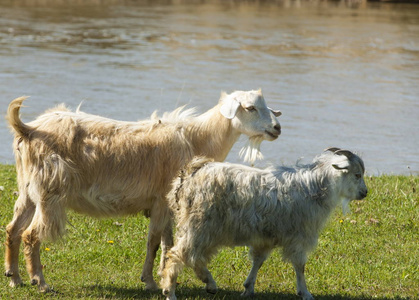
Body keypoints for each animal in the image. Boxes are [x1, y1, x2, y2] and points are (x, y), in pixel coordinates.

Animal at [3, 89, 282, 292]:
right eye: (250, 107)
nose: (277, 128)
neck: (197, 139)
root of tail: (28, 129)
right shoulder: (160, 200)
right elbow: (154, 242)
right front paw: (149, 281)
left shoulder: (169, 203)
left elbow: (167, 241)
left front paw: (164, 274)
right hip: (50, 191)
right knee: (30, 235)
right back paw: (40, 282)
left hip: (28, 190)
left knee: (13, 229)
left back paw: (14, 278)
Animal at [161, 148, 368, 300]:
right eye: (357, 174)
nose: (365, 193)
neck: (316, 187)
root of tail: (190, 174)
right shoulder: (299, 236)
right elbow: (300, 266)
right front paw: (305, 293)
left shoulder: (265, 237)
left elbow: (258, 261)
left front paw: (248, 288)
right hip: (200, 225)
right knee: (179, 254)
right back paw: (172, 291)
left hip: (203, 229)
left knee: (193, 257)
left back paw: (208, 282)